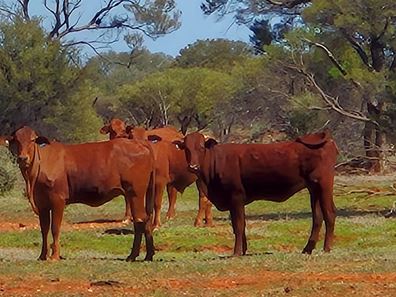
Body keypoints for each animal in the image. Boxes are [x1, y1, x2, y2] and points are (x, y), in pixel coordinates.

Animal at [7, 126, 156, 260]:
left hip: (135, 193)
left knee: (140, 220)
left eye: (32, 140)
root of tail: (140, 144)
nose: (23, 158)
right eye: (16, 140)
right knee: (145, 219)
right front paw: (42, 256)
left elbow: (55, 228)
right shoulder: (42, 203)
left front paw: (54, 256)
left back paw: (133, 255)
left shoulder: (58, 200)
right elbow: (44, 229)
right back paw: (148, 255)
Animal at [175, 131, 338, 256]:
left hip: (324, 185)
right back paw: (307, 249)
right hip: (314, 189)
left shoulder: (236, 197)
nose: (193, 166)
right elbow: (238, 225)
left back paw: (327, 248)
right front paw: (243, 250)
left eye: (201, 147)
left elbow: (239, 225)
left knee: (329, 214)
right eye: (186, 148)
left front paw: (236, 252)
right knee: (317, 217)